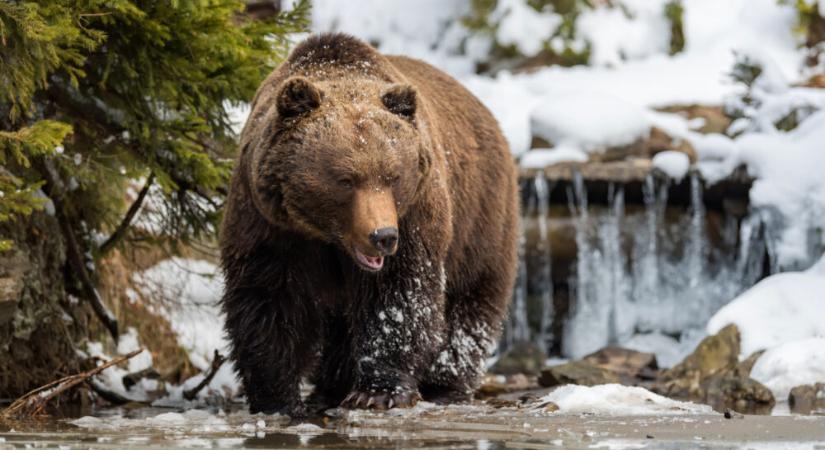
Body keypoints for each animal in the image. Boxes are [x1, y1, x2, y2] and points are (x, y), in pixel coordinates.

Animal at [217, 33, 516, 416]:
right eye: (346, 179)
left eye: (393, 176)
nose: (383, 236)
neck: (327, 236)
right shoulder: (269, 223)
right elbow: (269, 297)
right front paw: (277, 397)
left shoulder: (415, 216)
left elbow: (398, 297)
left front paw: (379, 391)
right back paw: (330, 387)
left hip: (480, 218)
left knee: (470, 302)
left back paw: (445, 385)